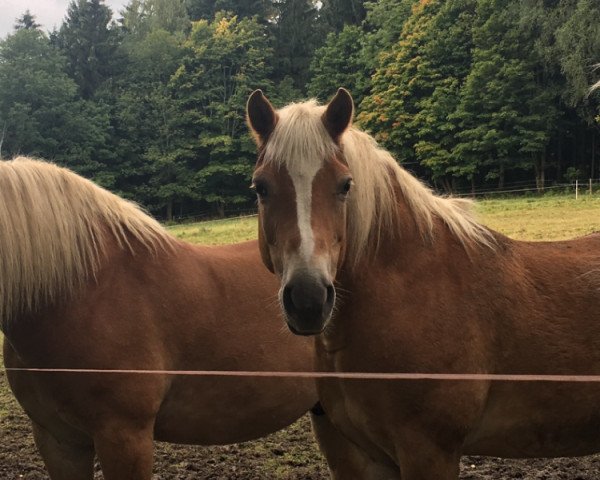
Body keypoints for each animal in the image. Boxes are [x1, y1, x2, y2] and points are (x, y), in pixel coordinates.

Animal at [246, 90, 600, 480]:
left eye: (345, 185)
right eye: (261, 187)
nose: (308, 299)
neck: (412, 290)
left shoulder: (429, 452)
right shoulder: (363, 457)